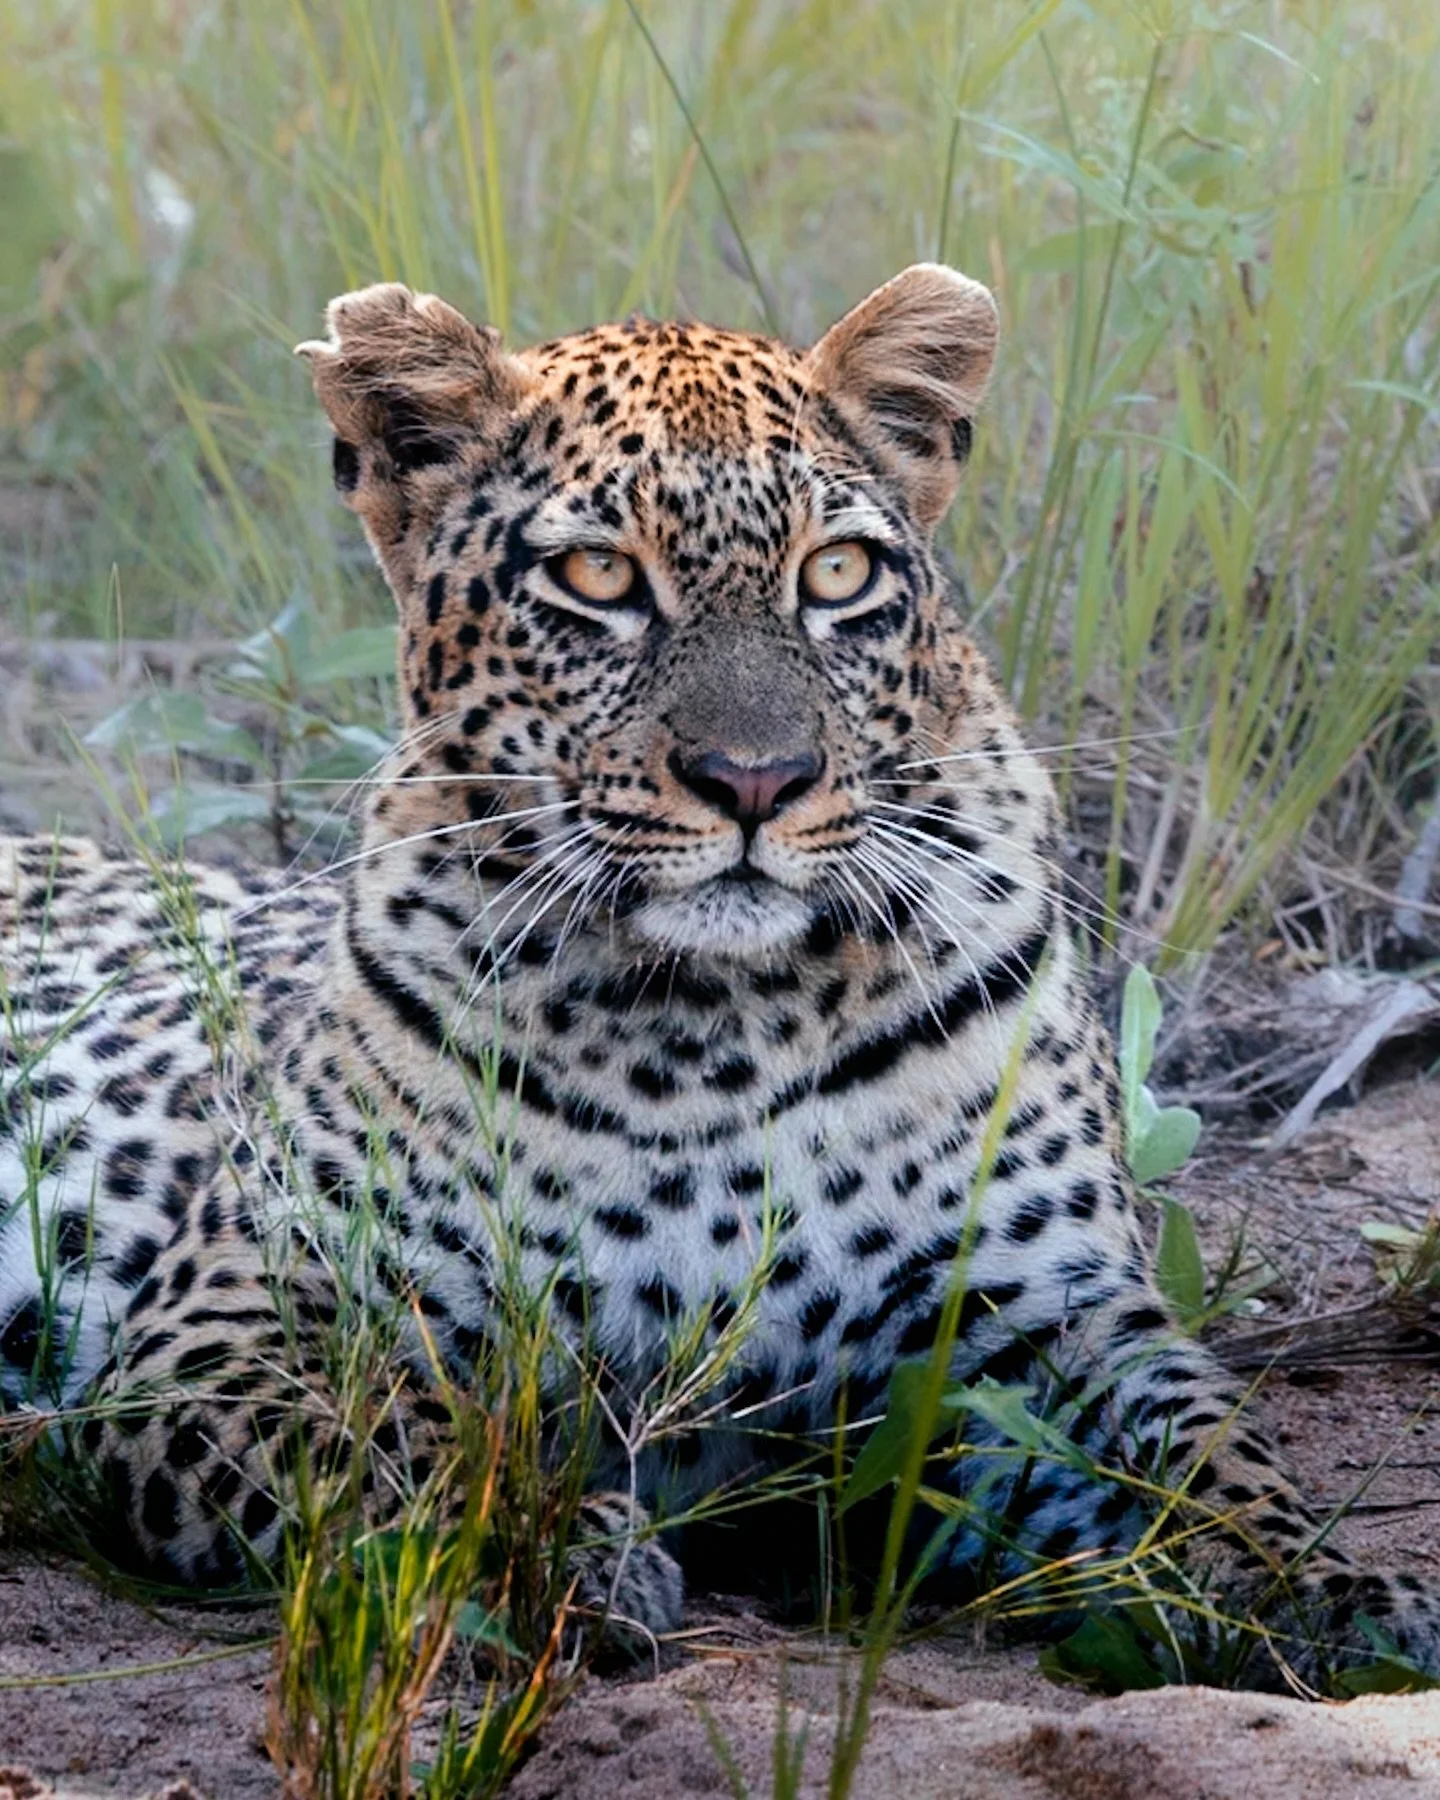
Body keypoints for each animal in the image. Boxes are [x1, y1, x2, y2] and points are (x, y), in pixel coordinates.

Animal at [2, 265, 1437, 1686]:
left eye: (838, 571)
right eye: (596, 574)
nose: (757, 781)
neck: (709, 1025)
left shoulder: (1045, 1323)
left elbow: (1210, 1458)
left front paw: (1334, 1598)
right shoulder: (240, 1321)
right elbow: (417, 1440)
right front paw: (556, 1553)